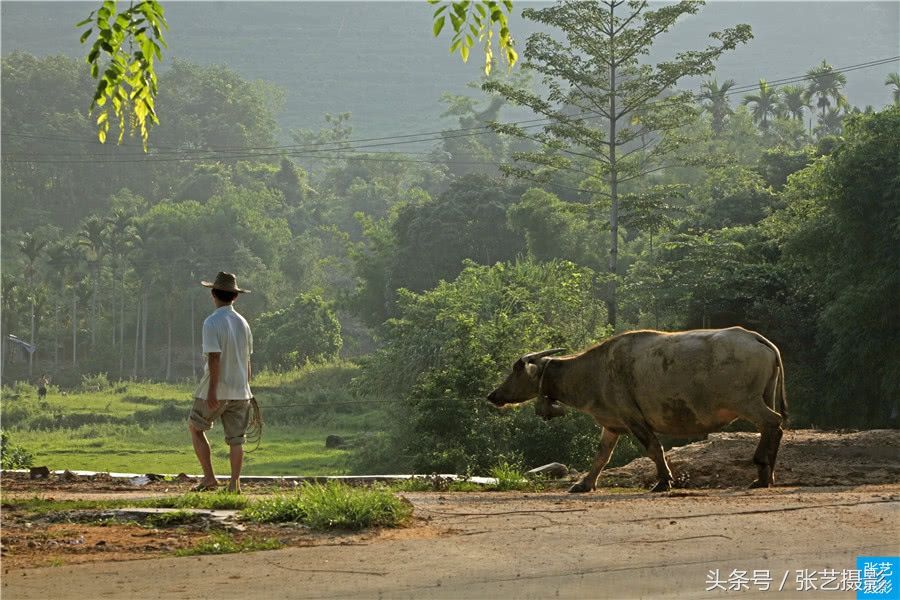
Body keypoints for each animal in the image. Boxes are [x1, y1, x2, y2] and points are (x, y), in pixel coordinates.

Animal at [486, 328, 788, 492]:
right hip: (764, 396)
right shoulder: (611, 424)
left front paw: (664, 482)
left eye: (516, 370)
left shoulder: (634, 420)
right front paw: (584, 484)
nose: (493, 395)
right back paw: (766, 475)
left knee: (772, 423)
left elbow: (654, 449)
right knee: (773, 427)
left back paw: (762, 473)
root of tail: (760, 340)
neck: (594, 372)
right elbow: (601, 456)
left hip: (747, 402)